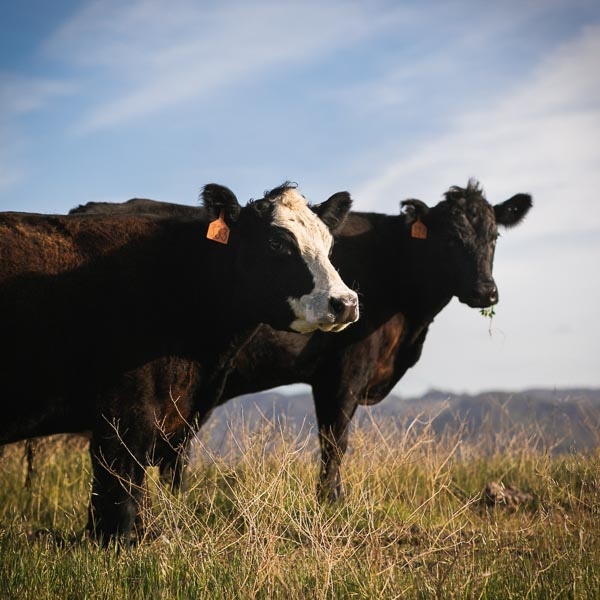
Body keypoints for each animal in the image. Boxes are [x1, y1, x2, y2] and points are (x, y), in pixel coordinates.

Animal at [59, 179, 528, 502]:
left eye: (494, 237)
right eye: (449, 239)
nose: (486, 292)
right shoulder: (343, 370)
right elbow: (334, 441)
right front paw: (332, 501)